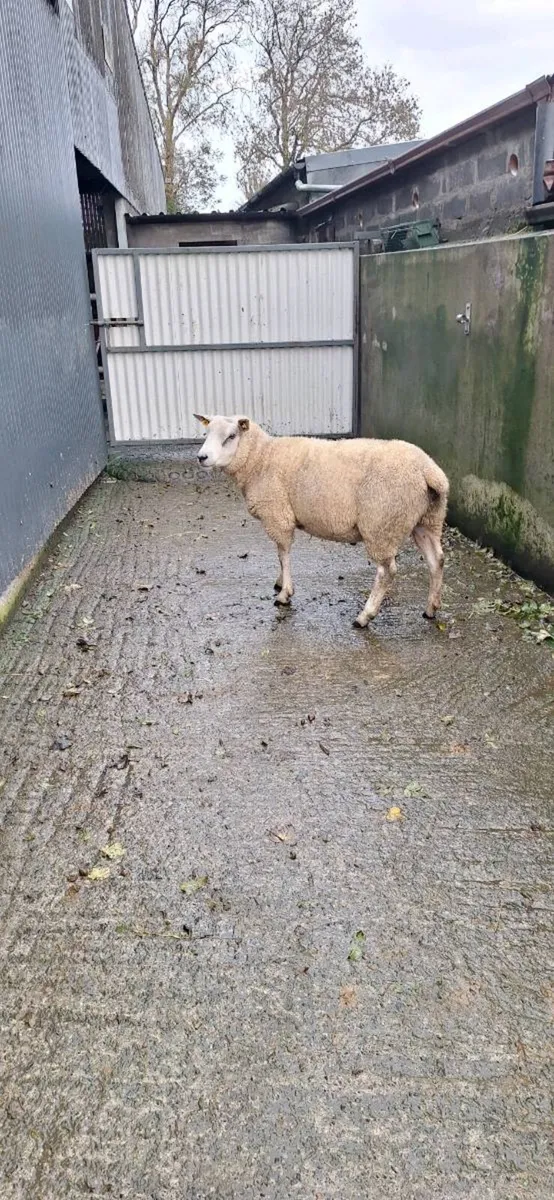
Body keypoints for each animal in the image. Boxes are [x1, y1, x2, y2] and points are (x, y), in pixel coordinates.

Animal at [194, 414, 449, 628]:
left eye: (231, 436)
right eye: (206, 433)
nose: (201, 457)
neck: (261, 458)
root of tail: (429, 471)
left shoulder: (278, 515)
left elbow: (283, 554)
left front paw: (284, 593)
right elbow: (280, 556)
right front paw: (280, 582)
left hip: (381, 524)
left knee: (386, 571)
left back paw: (365, 616)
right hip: (426, 519)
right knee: (436, 560)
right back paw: (430, 608)